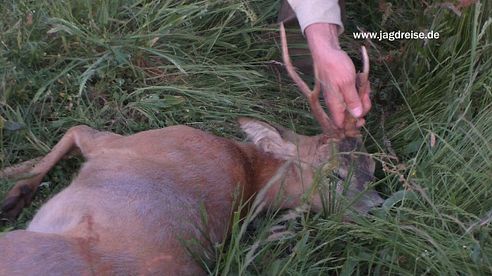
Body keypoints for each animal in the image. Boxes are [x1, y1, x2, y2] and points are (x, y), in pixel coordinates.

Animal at [0, 24, 382, 274]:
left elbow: (76, 130)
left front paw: (11, 183)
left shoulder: (128, 144)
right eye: (337, 174)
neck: (247, 169)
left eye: (372, 170)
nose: (381, 207)